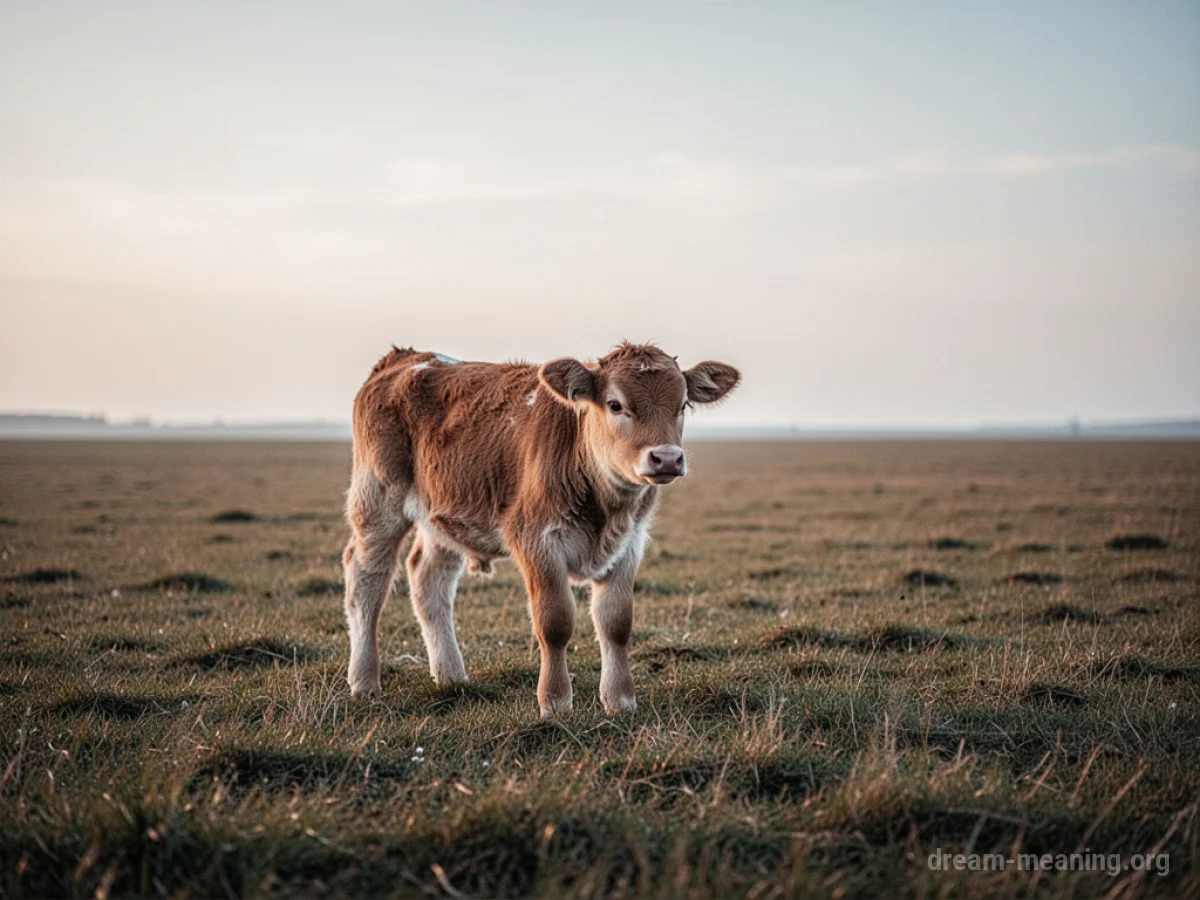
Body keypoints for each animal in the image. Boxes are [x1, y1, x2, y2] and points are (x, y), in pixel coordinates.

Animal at [342, 342, 740, 717]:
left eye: (683, 405)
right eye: (615, 404)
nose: (667, 458)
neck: (605, 508)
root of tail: (406, 358)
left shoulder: (629, 545)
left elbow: (616, 622)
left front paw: (620, 701)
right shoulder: (536, 540)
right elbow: (555, 622)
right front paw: (556, 702)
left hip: (443, 515)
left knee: (428, 581)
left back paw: (452, 677)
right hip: (378, 499)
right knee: (366, 582)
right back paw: (364, 681)